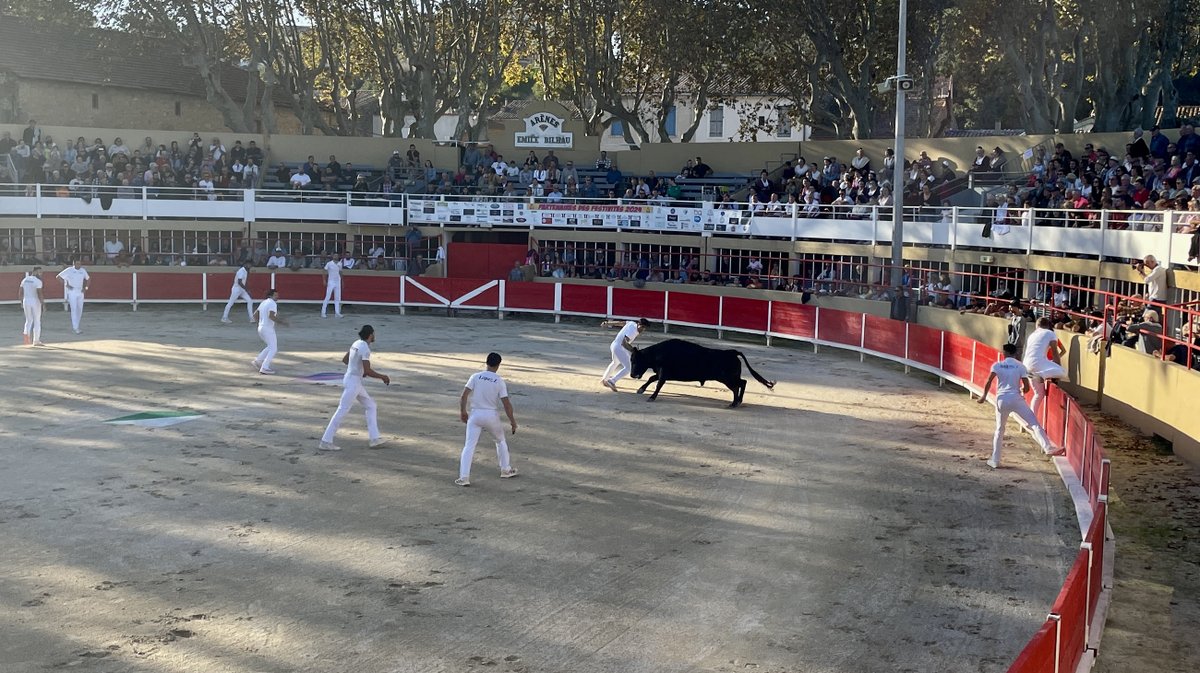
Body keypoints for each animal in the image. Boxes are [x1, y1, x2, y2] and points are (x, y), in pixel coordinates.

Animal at [628, 338, 777, 407]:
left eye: (635, 361)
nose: (632, 375)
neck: (657, 353)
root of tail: (732, 352)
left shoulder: (663, 373)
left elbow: (658, 384)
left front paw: (651, 397)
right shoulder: (661, 373)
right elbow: (652, 379)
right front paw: (641, 389)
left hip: (727, 378)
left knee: (738, 385)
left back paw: (734, 403)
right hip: (730, 377)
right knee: (742, 383)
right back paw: (738, 401)